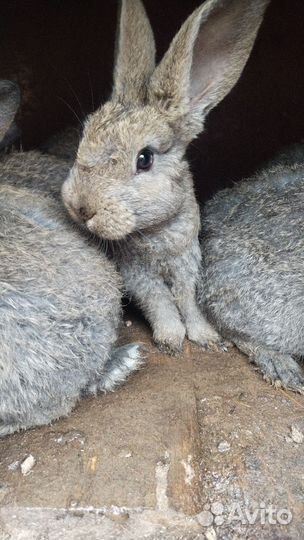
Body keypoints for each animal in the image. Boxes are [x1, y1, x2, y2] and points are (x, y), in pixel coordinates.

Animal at [60, 0, 270, 354]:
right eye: (83, 137)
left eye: (144, 159)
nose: (82, 207)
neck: (157, 232)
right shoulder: (138, 275)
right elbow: (161, 303)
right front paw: (171, 340)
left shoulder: (188, 264)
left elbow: (187, 301)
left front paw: (206, 337)